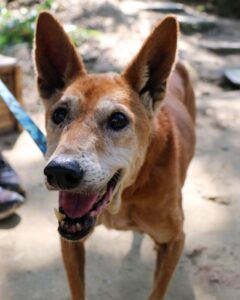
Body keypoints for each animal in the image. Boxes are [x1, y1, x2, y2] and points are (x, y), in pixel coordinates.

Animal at [33, 11, 195, 300]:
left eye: (118, 119)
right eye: (59, 114)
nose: (60, 171)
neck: (126, 195)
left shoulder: (174, 241)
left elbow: (157, 291)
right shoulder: (70, 242)